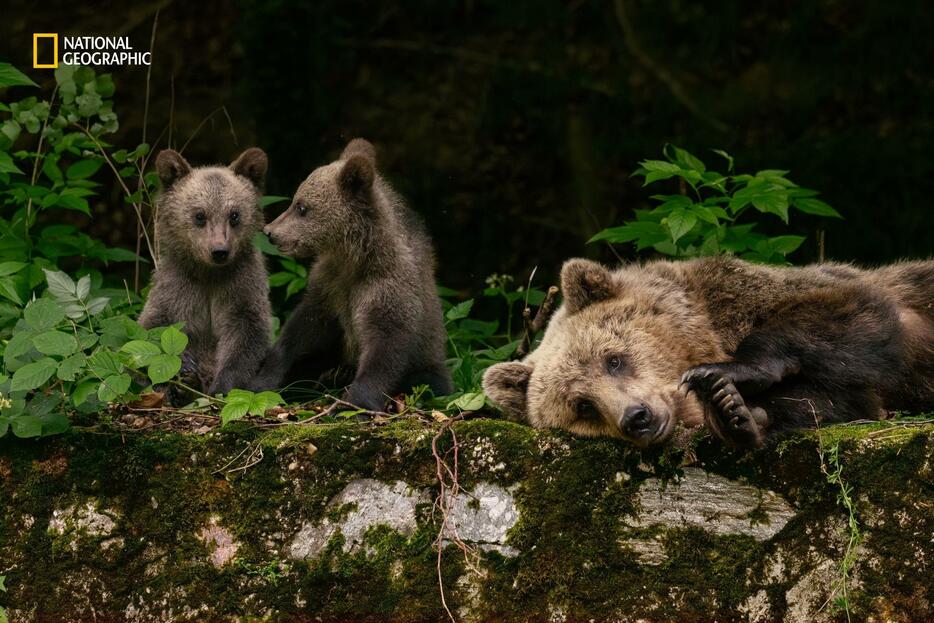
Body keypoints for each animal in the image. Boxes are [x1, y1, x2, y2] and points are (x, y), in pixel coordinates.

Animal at [486, 258, 932, 448]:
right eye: (582, 406)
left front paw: (726, 376)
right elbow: (832, 400)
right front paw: (735, 413)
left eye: (613, 359)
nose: (637, 417)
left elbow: (851, 312)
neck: (709, 328)